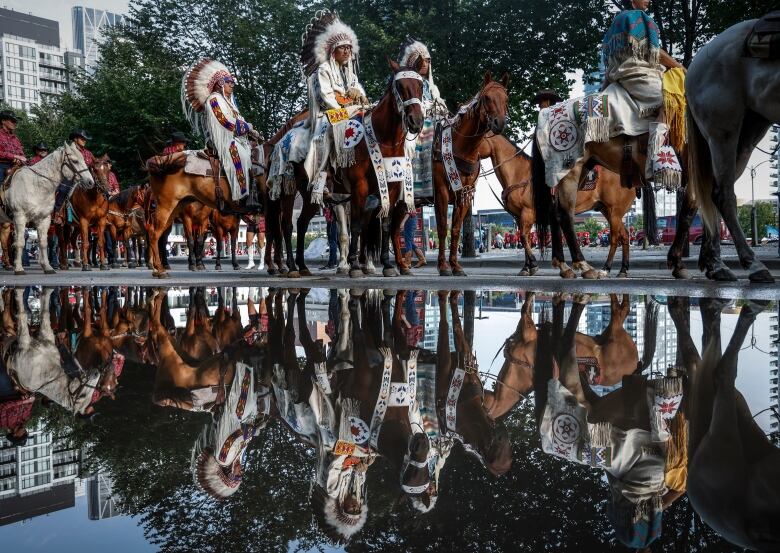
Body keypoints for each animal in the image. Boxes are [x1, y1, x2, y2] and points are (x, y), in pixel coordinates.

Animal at [0, 140, 93, 274]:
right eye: (75, 161)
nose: (90, 182)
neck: (36, 186)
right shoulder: (19, 217)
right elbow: (20, 242)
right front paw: (19, 268)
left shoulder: (44, 219)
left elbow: (43, 243)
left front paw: (47, 267)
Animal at [432, 73, 512, 276]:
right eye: (487, 98)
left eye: (506, 99)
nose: (499, 123)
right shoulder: (441, 191)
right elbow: (442, 228)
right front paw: (442, 266)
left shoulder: (464, 193)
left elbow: (455, 229)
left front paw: (455, 265)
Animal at [478, 133, 648, 278]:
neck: (520, 174)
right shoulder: (518, 216)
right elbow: (522, 237)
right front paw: (526, 268)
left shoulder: (528, 213)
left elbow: (524, 237)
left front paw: (533, 265)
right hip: (608, 210)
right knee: (624, 236)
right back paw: (623, 270)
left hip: (614, 211)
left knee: (615, 237)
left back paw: (605, 269)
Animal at [672, 19, 776, 282]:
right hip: (722, 130)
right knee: (721, 194)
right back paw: (753, 264)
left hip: (749, 128)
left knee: (708, 193)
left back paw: (713, 264)